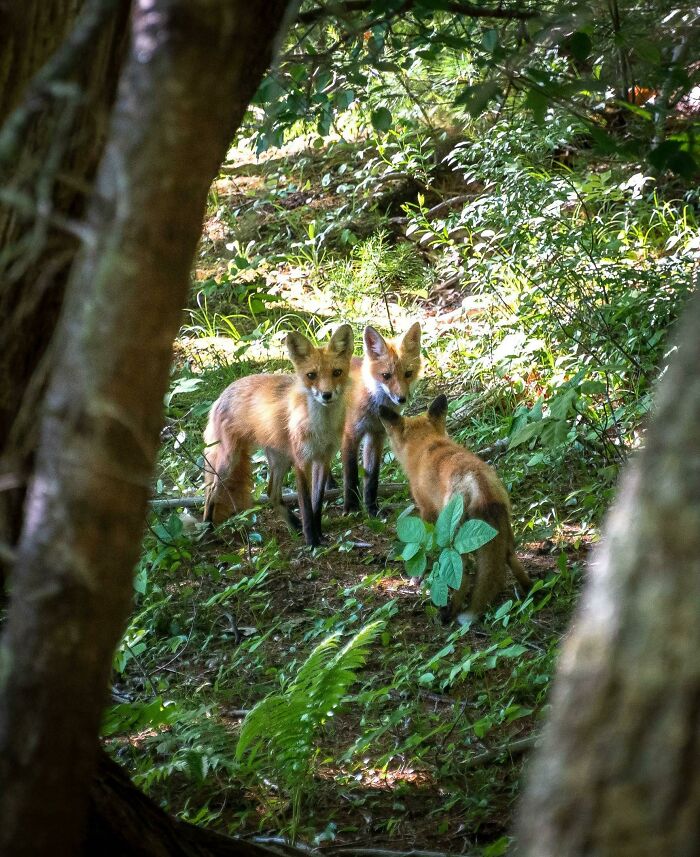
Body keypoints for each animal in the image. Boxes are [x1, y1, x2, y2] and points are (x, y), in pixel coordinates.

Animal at [202, 324, 354, 547]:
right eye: (311, 375)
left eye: (337, 372)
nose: (326, 395)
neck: (321, 428)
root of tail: (221, 395)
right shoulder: (301, 461)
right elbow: (306, 505)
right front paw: (312, 541)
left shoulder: (323, 458)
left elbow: (317, 503)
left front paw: (318, 534)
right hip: (228, 462)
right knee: (211, 492)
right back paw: (207, 530)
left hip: (280, 459)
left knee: (271, 494)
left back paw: (294, 524)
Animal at [341, 322, 422, 516]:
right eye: (386, 376)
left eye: (408, 373)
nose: (401, 399)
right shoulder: (350, 435)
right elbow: (351, 475)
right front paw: (351, 507)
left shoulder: (376, 436)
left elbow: (372, 477)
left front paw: (372, 509)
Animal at [379, 393, 532, 623]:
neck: (427, 445)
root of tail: (478, 483)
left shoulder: (426, 510)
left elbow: (424, 547)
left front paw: (417, 579)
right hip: (505, 533)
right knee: (510, 557)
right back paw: (530, 590)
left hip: (455, 538)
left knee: (464, 574)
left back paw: (449, 613)